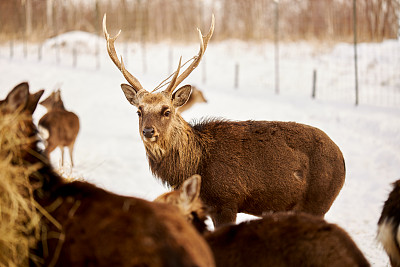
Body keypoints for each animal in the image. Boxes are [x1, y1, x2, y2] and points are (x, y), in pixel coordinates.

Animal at [104, 13, 346, 228]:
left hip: (318, 201)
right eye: (139, 111)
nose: (148, 131)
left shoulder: (226, 202)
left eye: (167, 111)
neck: (195, 163)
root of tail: (342, 159)